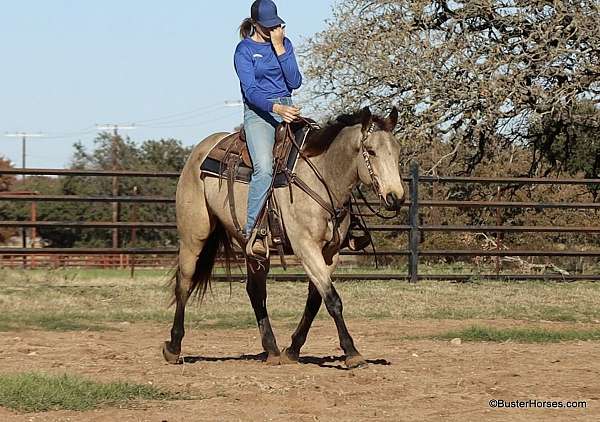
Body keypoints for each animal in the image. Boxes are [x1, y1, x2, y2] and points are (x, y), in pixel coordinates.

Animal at [162, 106, 406, 370]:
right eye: (370, 151)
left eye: (397, 151)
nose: (395, 197)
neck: (322, 177)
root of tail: (201, 150)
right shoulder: (306, 248)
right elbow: (333, 300)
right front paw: (352, 352)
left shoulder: (330, 254)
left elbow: (316, 300)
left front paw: (293, 350)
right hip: (192, 237)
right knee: (184, 283)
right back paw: (173, 347)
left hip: (252, 248)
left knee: (255, 291)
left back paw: (271, 349)